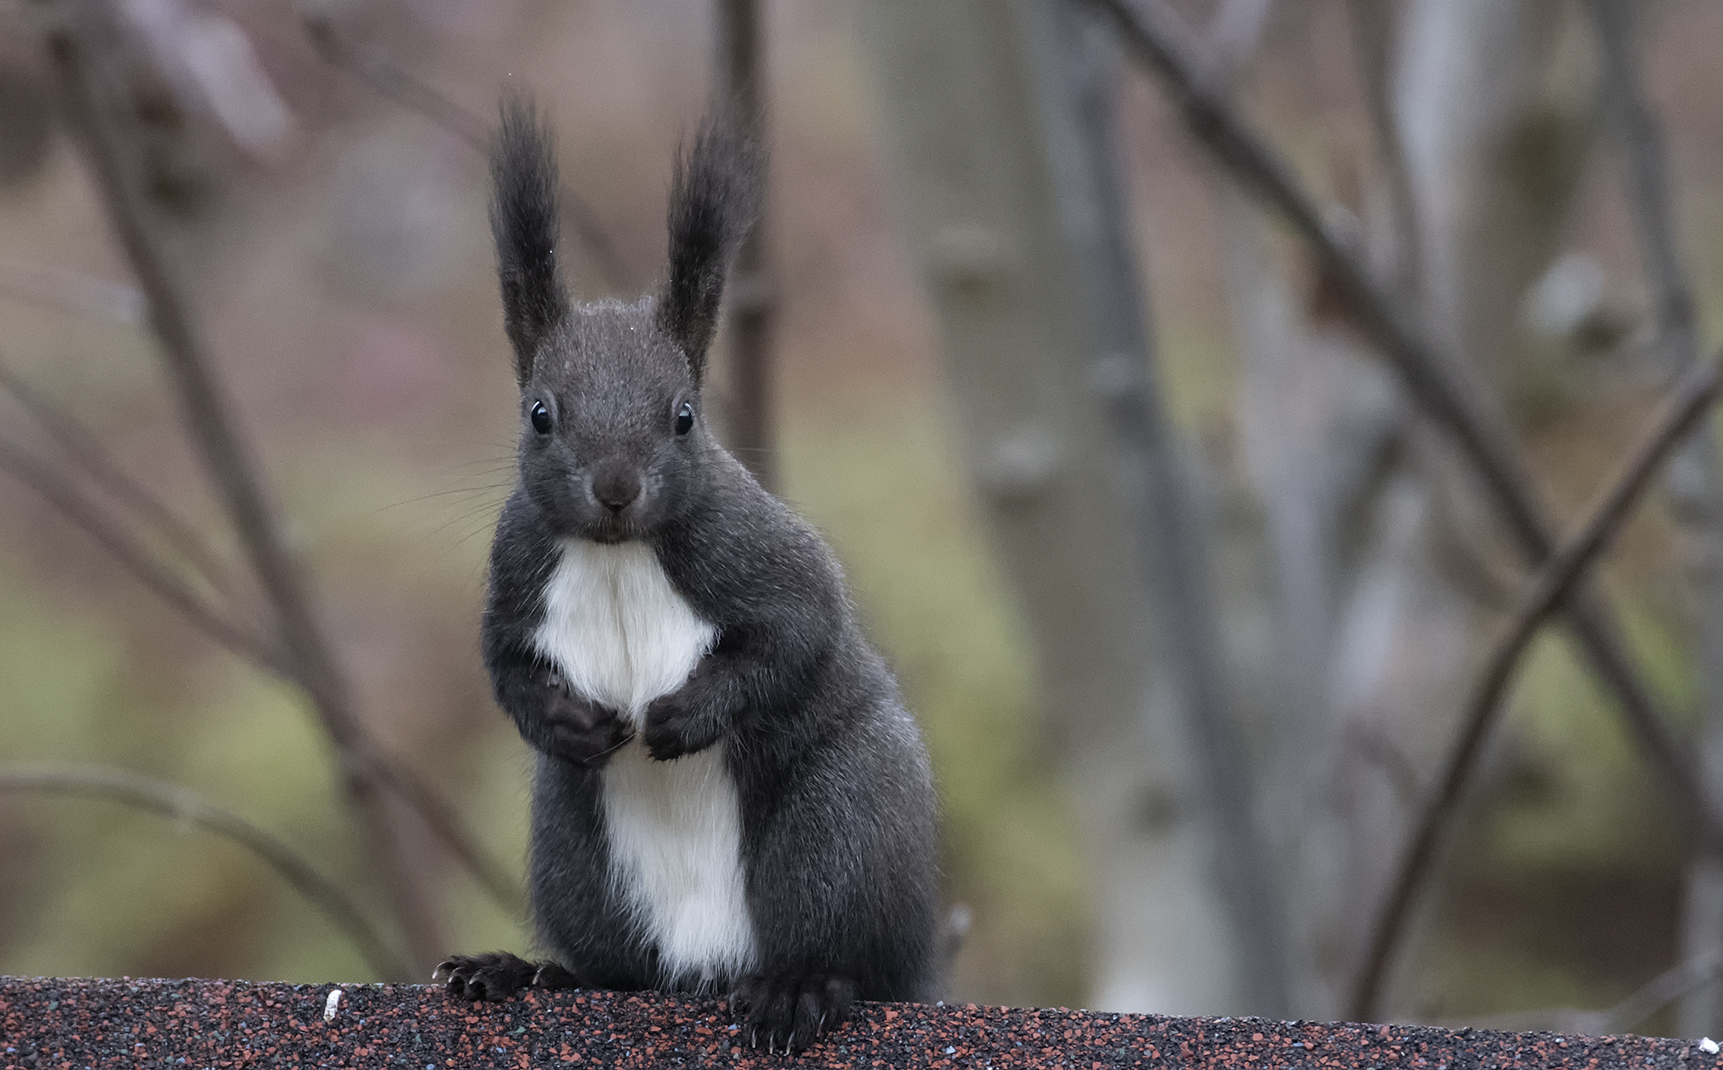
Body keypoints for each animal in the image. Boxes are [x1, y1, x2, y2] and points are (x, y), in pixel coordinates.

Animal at [430, 99, 944, 1054]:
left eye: (683, 417)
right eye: (539, 414)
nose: (615, 489)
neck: (616, 551)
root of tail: (704, 967)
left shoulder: (756, 555)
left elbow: (793, 635)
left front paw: (685, 715)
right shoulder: (516, 570)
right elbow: (503, 664)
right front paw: (566, 720)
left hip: (840, 827)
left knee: (845, 950)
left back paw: (798, 990)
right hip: (574, 855)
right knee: (615, 971)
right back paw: (523, 972)